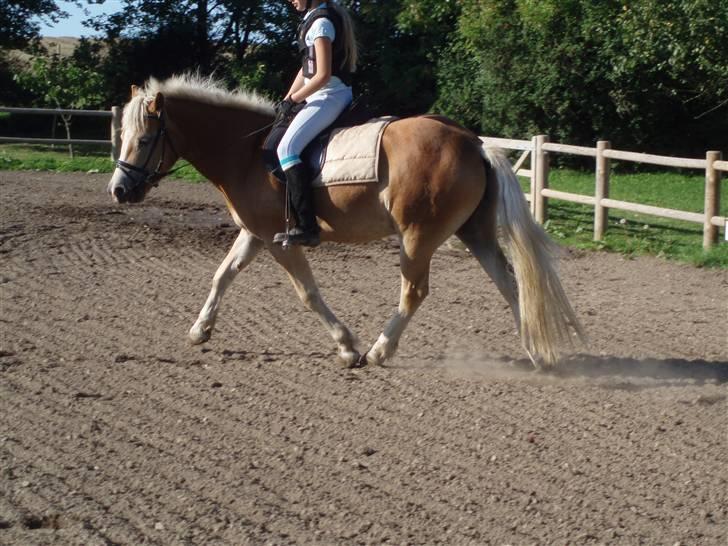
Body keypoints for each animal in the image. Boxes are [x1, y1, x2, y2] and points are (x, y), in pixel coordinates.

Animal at [108, 74, 584, 368]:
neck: (246, 153)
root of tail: (472, 141)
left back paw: (378, 351)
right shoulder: (254, 233)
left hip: (417, 238)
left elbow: (307, 294)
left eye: (145, 140)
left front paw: (346, 347)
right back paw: (536, 351)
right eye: (123, 136)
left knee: (415, 292)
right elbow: (222, 275)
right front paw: (199, 331)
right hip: (475, 233)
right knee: (509, 282)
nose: (119, 190)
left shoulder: (280, 240)